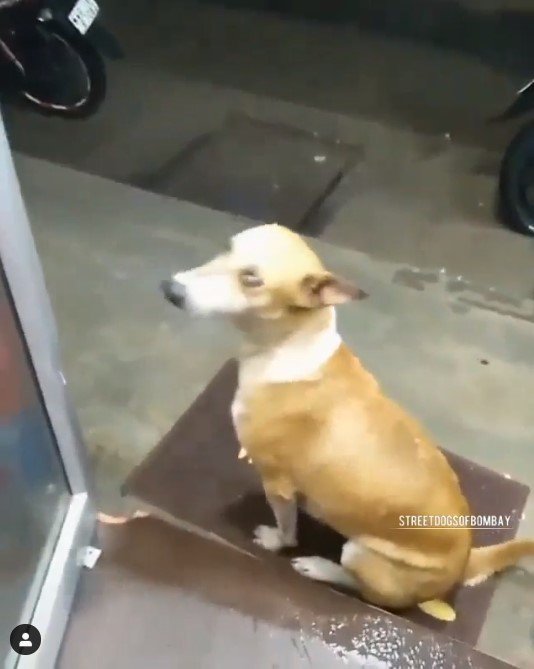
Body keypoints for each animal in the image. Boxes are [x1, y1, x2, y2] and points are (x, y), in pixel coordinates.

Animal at [162, 224, 534, 612]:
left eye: (252, 279)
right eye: (227, 247)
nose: (169, 288)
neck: (289, 343)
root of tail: (463, 562)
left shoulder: (278, 483)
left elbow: (286, 531)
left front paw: (276, 540)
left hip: (360, 554)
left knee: (367, 591)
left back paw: (320, 567)